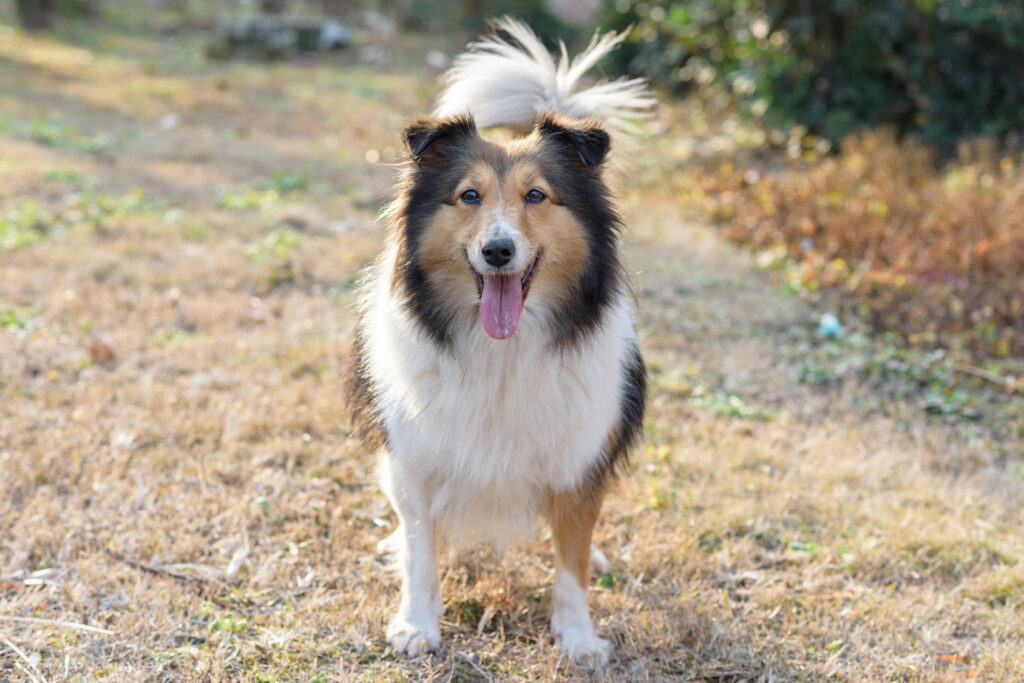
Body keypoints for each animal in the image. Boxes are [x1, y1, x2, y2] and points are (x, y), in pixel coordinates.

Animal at [348, 18, 651, 663]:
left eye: (537, 196)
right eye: (469, 196)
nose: (497, 251)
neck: (501, 351)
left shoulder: (577, 459)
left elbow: (570, 561)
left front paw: (577, 635)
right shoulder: (414, 458)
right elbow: (422, 552)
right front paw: (417, 624)